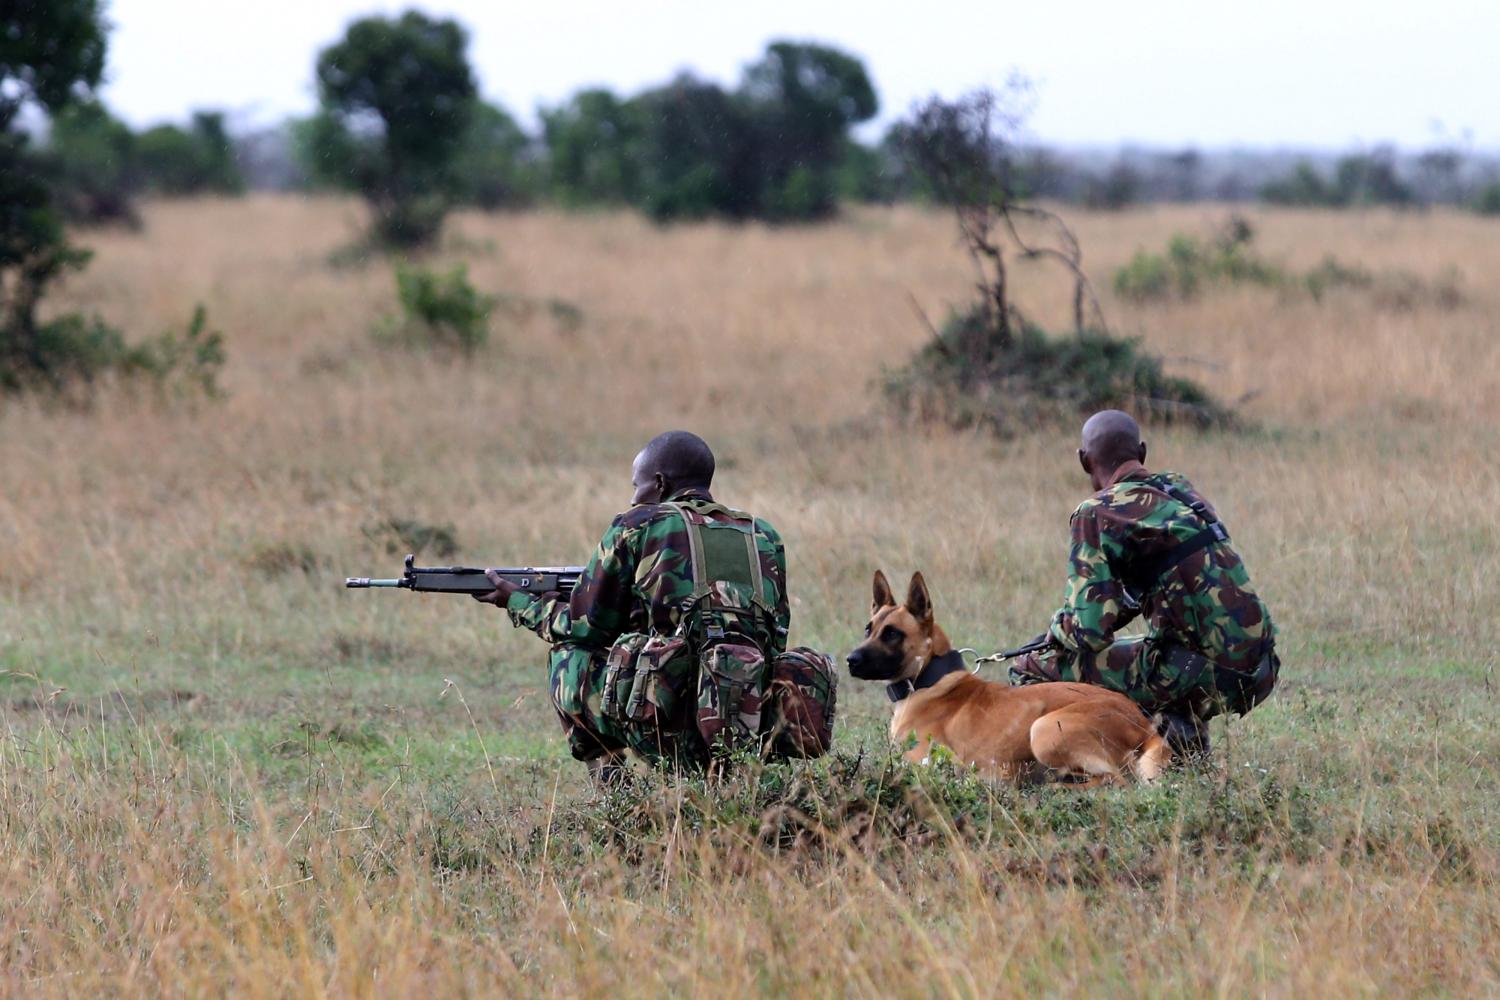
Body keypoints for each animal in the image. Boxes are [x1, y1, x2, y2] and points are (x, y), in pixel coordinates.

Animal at [846, 569, 1170, 779]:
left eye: (892, 633)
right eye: (868, 628)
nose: (850, 660)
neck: (928, 677)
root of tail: (1143, 723)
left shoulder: (922, 760)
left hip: (1044, 729)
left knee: (1116, 780)